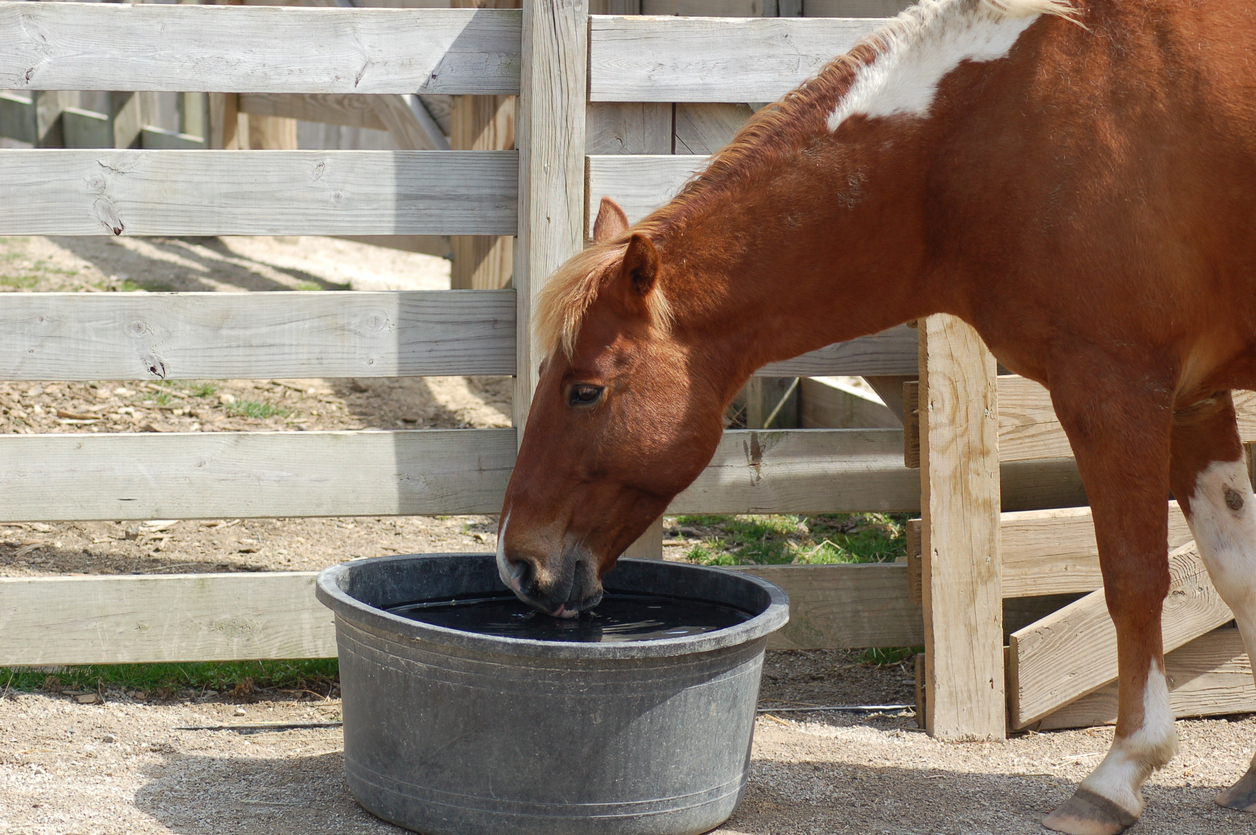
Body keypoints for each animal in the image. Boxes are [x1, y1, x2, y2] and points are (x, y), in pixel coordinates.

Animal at [494, 3, 1256, 828]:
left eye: (585, 390)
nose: (516, 560)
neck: (999, 122)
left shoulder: (1115, 387)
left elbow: (1133, 576)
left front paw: (1119, 773)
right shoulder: (1193, 399)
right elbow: (1237, 571)